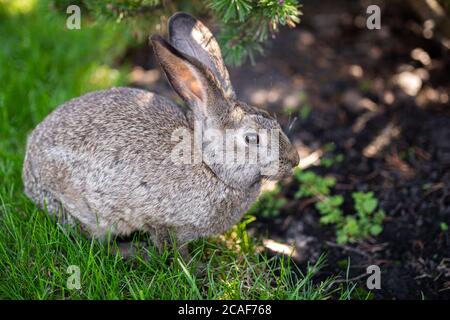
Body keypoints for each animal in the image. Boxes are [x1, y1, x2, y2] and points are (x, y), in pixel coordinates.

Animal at [22, 11, 300, 258]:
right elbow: (174, 248)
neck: (209, 165)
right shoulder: (164, 223)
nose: (295, 160)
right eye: (251, 139)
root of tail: (28, 171)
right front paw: (195, 268)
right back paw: (130, 252)